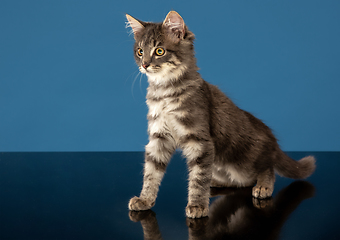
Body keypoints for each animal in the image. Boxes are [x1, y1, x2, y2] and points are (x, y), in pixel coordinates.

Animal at [125, 10, 316, 218]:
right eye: (140, 51)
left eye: (159, 51)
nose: (144, 65)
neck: (164, 92)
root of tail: (271, 140)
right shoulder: (159, 137)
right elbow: (152, 172)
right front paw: (145, 199)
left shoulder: (200, 140)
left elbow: (198, 176)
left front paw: (197, 205)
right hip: (221, 164)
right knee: (237, 180)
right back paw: (215, 183)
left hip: (245, 160)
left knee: (266, 168)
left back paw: (263, 186)